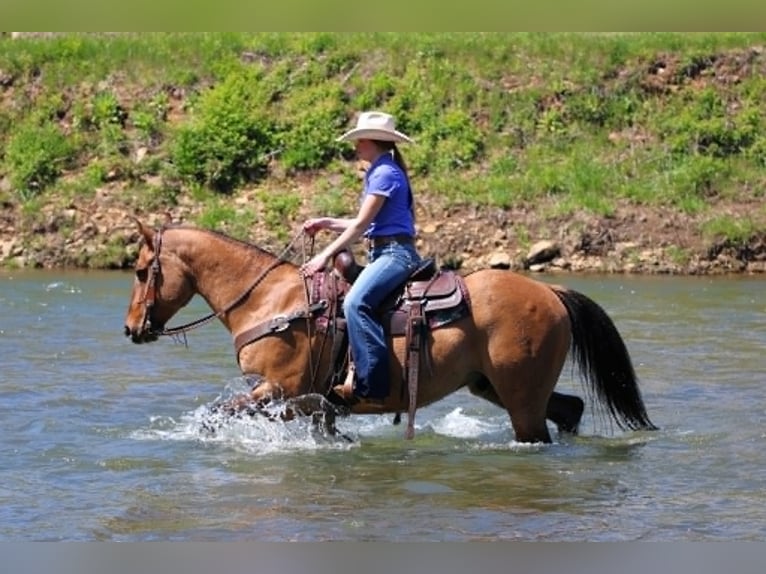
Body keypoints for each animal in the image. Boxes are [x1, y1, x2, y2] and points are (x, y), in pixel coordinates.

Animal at [123, 219, 657, 444]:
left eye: (141, 270)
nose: (130, 329)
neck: (269, 300)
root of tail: (550, 292)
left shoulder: (280, 391)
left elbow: (215, 417)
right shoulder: (309, 403)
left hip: (520, 395)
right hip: (495, 386)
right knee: (570, 409)